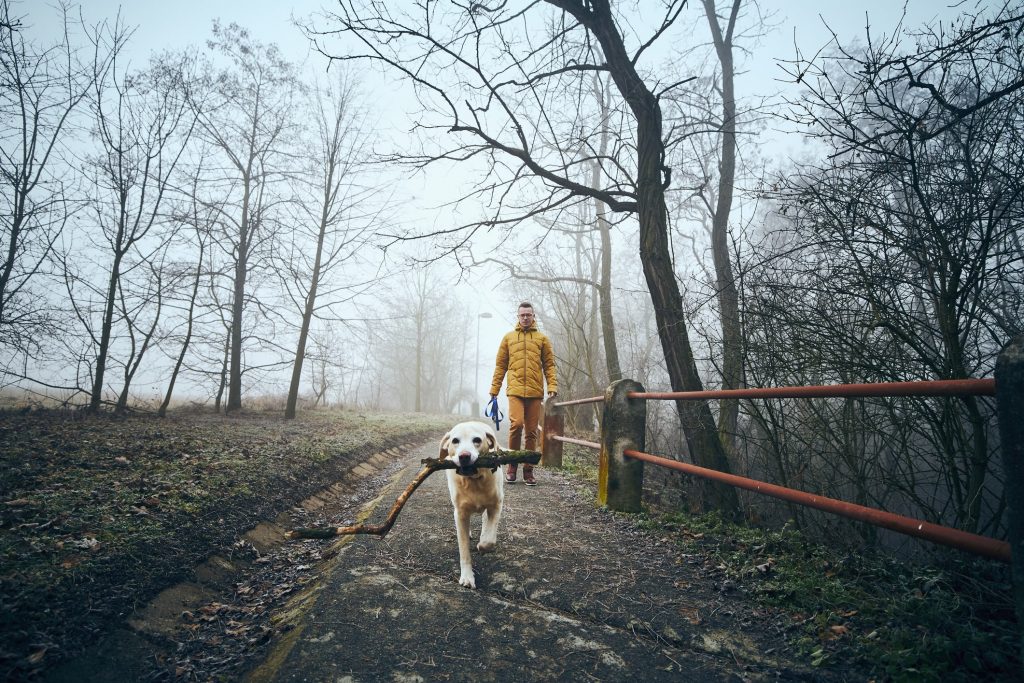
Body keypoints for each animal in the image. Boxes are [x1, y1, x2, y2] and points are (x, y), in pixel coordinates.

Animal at [438, 419, 505, 589]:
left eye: (477, 440)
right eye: (455, 441)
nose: (464, 456)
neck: (474, 481)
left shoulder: (496, 505)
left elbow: (489, 540)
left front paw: (483, 545)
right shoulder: (460, 513)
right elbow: (464, 550)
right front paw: (467, 577)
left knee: (486, 523)